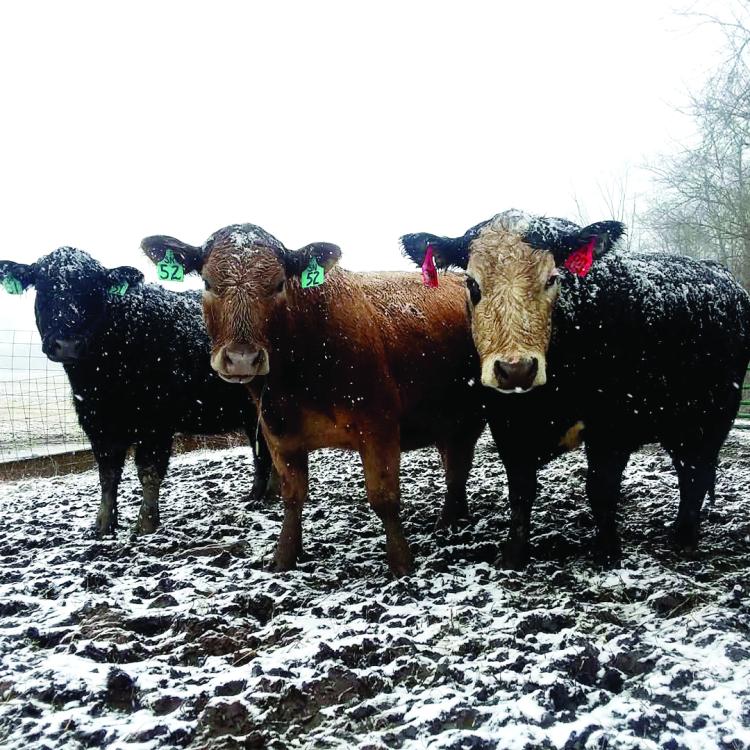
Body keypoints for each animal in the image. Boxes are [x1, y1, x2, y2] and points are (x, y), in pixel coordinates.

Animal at [0, 247, 276, 537]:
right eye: (43, 286)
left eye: (93, 289)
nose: (66, 343)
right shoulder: (97, 423)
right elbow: (108, 474)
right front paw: (103, 524)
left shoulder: (154, 423)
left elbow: (149, 470)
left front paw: (146, 523)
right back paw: (261, 495)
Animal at [141, 224, 485, 577]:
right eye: (208, 283)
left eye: (279, 284)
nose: (241, 359)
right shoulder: (278, 434)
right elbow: (292, 497)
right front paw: (284, 557)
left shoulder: (379, 425)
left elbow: (384, 497)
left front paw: (401, 563)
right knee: (454, 464)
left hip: (467, 417)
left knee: (458, 467)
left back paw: (448, 520)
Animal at [401, 210, 750, 567]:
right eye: (472, 283)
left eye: (552, 279)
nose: (516, 369)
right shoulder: (507, 425)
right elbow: (521, 490)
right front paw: (514, 554)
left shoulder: (613, 425)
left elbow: (601, 489)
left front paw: (607, 552)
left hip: (712, 416)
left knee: (696, 473)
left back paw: (684, 539)